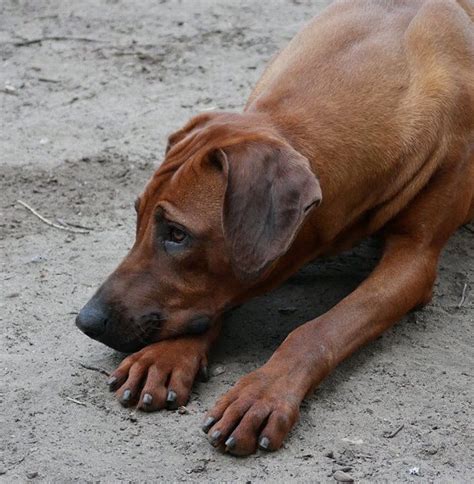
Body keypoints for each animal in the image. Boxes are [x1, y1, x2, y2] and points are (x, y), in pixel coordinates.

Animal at [76, 0, 472, 456]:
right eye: (137, 218)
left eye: (177, 234)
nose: (86, 321)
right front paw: (167, 355)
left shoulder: (413, 260)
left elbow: (316, 330)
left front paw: (262, 392)